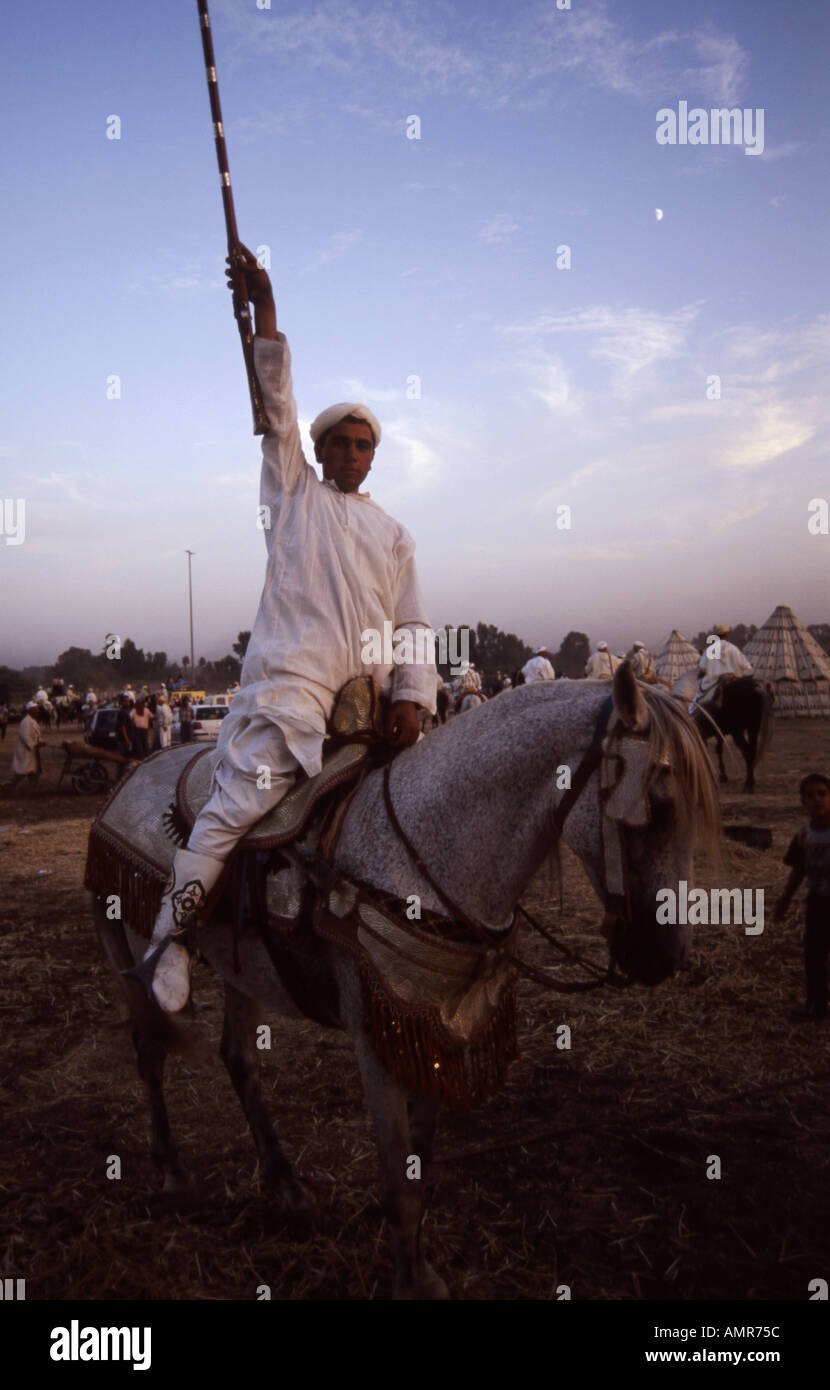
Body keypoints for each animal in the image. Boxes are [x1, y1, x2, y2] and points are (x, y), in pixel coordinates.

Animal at [92, 658, 717, 1289]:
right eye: (658, 805)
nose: (665, 957)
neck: (423, 857)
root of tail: (129, 781)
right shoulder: (378, 1042)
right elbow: (398, 1183)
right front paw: (407, 1278)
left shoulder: (431, 1031)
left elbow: (421, 1165)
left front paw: (420, 1269)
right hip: (139, 942)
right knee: (150, 1046)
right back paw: (172, 1168)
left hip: (242, 968)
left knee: (239, 1060)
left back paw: (287, 1186)